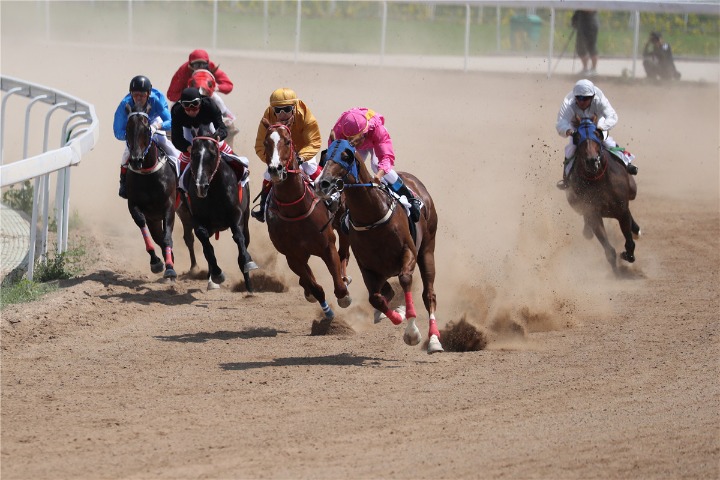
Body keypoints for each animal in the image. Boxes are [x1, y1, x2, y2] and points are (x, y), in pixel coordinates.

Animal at [124, 103, 197, 280]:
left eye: (146, 129)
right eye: (127, 129)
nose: (136, 160)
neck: (148, 175)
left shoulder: (168, 206)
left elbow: (167, 237)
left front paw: (170, 267)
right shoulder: (136, 207)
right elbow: (146, 228)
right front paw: (157, 262)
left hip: (185, 207)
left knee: (189, 235)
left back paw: (194, 267)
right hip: (169, 214)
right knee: (181, 236)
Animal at [181, 124, 258, 290]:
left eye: (212, 153)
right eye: (194, 154)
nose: (200, 187)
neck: (214, 190)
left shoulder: (236, 214)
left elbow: (239, 237)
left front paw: (247, 262)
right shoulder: (197, 218)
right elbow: (205, 244)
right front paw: (217, 273)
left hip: (246, 217)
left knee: (245, 238)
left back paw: (248, 284)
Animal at [264, 118, 354, 320]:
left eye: (287, 141)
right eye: (266, 143)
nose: (275, 169)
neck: (295, 210)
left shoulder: (327, 245)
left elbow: (339, 286)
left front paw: (344, 294)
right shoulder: (292, 256)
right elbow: (316, 287)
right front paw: (326, 310)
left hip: (342, 223)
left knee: (344, 253)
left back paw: (345, 276)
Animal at [316, 139, 444, 352]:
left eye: (345, 156)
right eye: (325, 157)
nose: (322, 184)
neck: (372, 216)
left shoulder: (408, 252)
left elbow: (405, 279)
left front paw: (412, 332)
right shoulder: (367, 266)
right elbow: (375, 298)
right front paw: (397, 315)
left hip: (427, 249)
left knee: (429, 294)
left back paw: (434, 339)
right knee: (387, 292)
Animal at [564, 118, 640, 272]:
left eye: (596, 135)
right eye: (577, 137)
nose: (592, 161)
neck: (599, 180)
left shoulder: (621, 210)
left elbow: (629, 242)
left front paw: (627, 254)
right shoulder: (593, 214)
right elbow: (609, 250)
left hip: (632, 191)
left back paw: (636, 230)